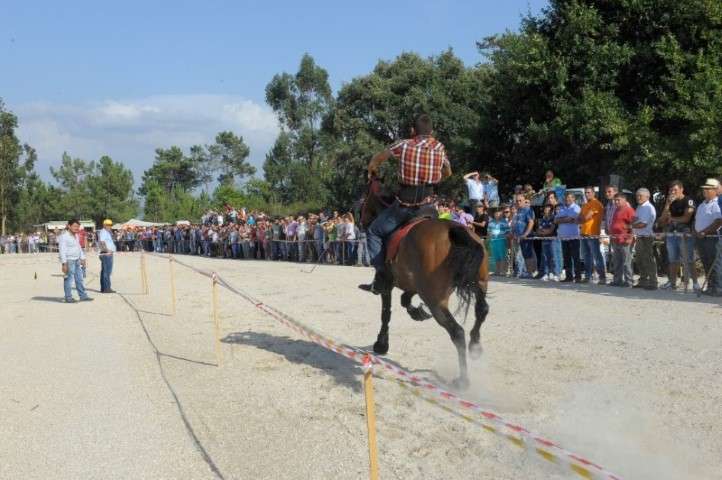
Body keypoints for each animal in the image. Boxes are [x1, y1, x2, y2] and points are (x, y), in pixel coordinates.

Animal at [360, 178, 490, 388]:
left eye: (364, 200)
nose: (362, 222)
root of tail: (455, 229)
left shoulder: (388, 284)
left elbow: (386, 313)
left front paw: (381, 344)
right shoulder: (414, 284)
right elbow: (405, 300)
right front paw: (417, 312)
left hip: (436, 300)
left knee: (457, 332)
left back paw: (463, 380)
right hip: (479, 283)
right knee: (482, 310)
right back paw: (475, 346)